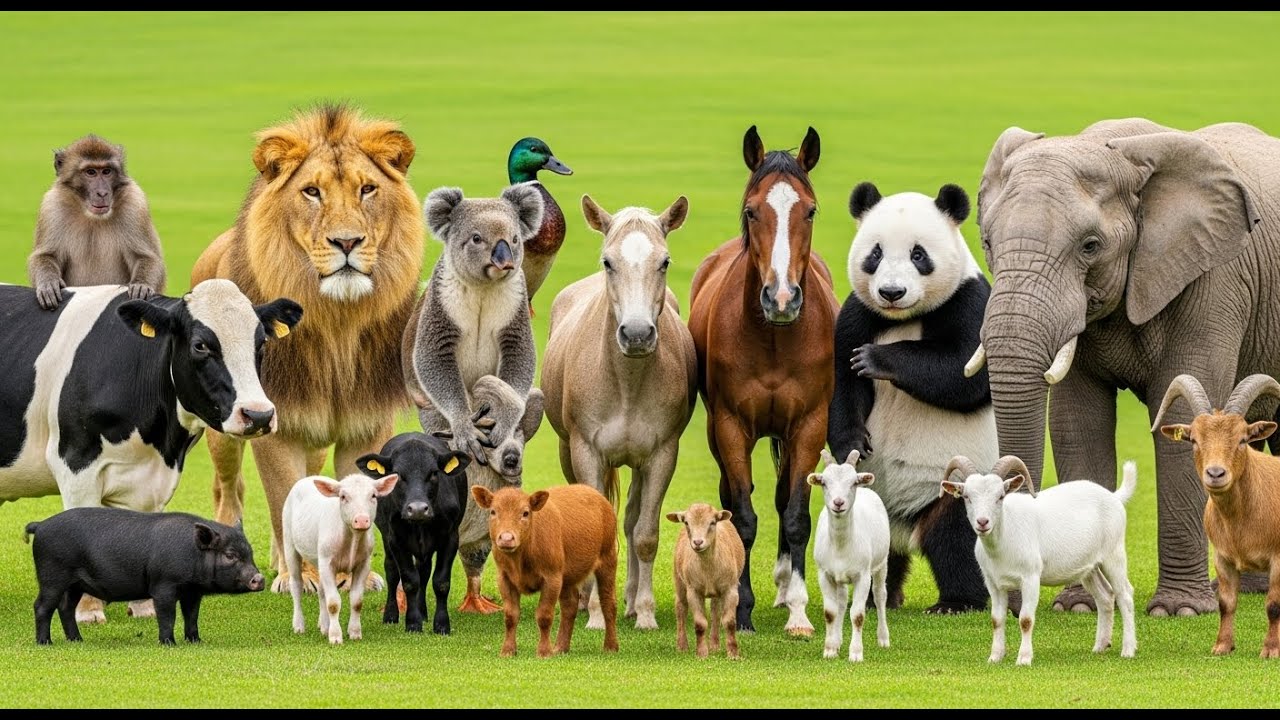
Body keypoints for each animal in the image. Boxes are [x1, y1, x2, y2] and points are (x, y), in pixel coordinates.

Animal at [968, 118, 1278, 617]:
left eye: (1090, 246)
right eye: (988, 243)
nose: (1012, 602)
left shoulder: (1216, 280)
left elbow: (1179, 416)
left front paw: (1179, 610)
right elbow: (1077, 423)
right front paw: (1079, 605)